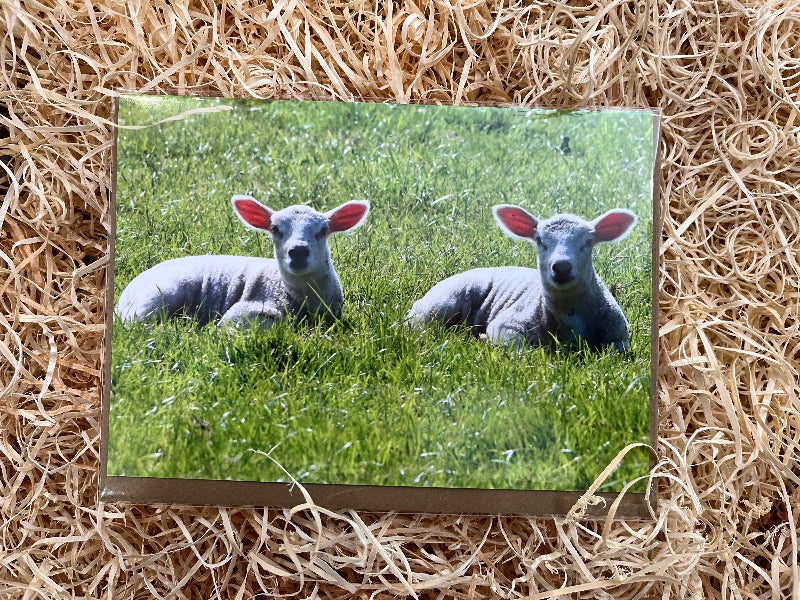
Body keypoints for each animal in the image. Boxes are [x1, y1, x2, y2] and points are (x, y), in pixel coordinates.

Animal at [406, 204, 639, 352]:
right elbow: (521, 352)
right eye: (540, 241)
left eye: (588, 242)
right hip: (439, 305)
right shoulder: (507, 324)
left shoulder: (619, 336)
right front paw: (487, 340)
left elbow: (616, 351)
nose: (562, 267)